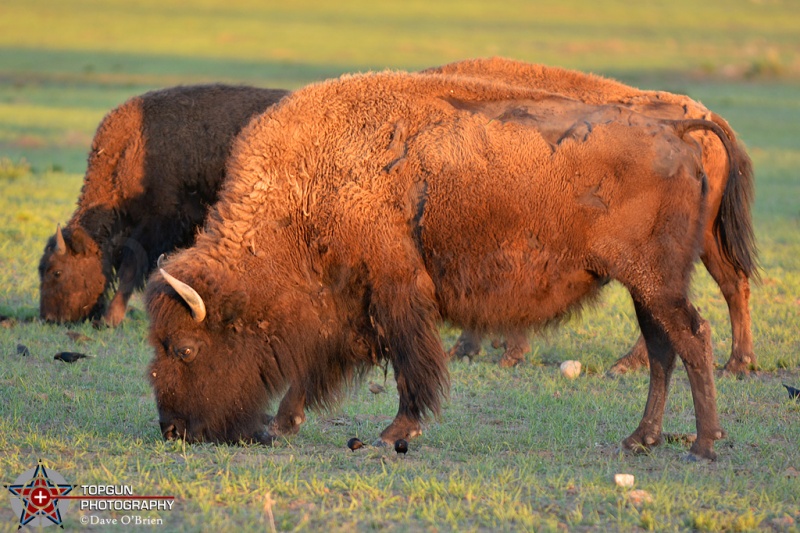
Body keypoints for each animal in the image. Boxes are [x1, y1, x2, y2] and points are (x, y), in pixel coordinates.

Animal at [37, 84, 290, 324]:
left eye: (57, 272)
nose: (50, 318)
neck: (129, 149)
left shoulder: (156, 224)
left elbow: (130, 269)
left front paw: (110, 319)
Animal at [424, 57, 756, 374]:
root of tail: (705, 117)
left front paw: (497, 352)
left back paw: (632, 363)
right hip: (706, 237)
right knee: (731, 283)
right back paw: (737, 364)